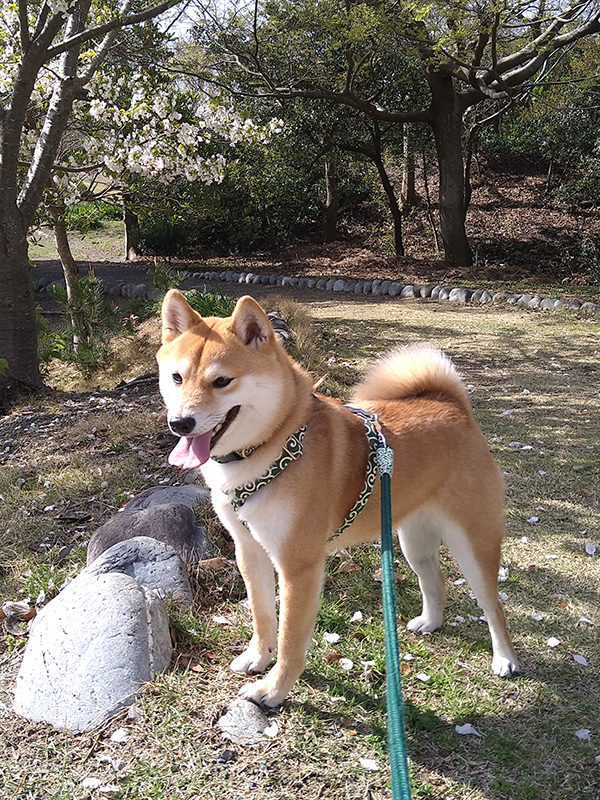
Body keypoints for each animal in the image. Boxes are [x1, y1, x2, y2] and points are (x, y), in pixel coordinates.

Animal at [157, 290, 516, 708]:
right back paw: (430, 622)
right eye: (177, 377)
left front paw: (273, 689)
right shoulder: (249, 549)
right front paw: (257, 657)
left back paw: (505, 658)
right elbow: (263, 618)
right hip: (412, 540)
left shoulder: (298, 566)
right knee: (434, 581)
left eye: (222, 381)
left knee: (494, 606)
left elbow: (290, 638)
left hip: (473, 544)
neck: (275, 446)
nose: (180, 423)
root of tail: (454, 407)